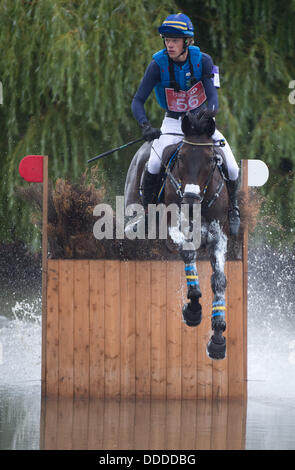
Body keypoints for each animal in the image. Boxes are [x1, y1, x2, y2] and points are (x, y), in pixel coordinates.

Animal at [124, 110, 231, 360]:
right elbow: (189, 255)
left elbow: (219, 279)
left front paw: (218, 338)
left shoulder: (218, 237)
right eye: (180, 158)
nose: (190, 202)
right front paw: (193, 309)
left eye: (211, 159)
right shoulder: (173, 230)